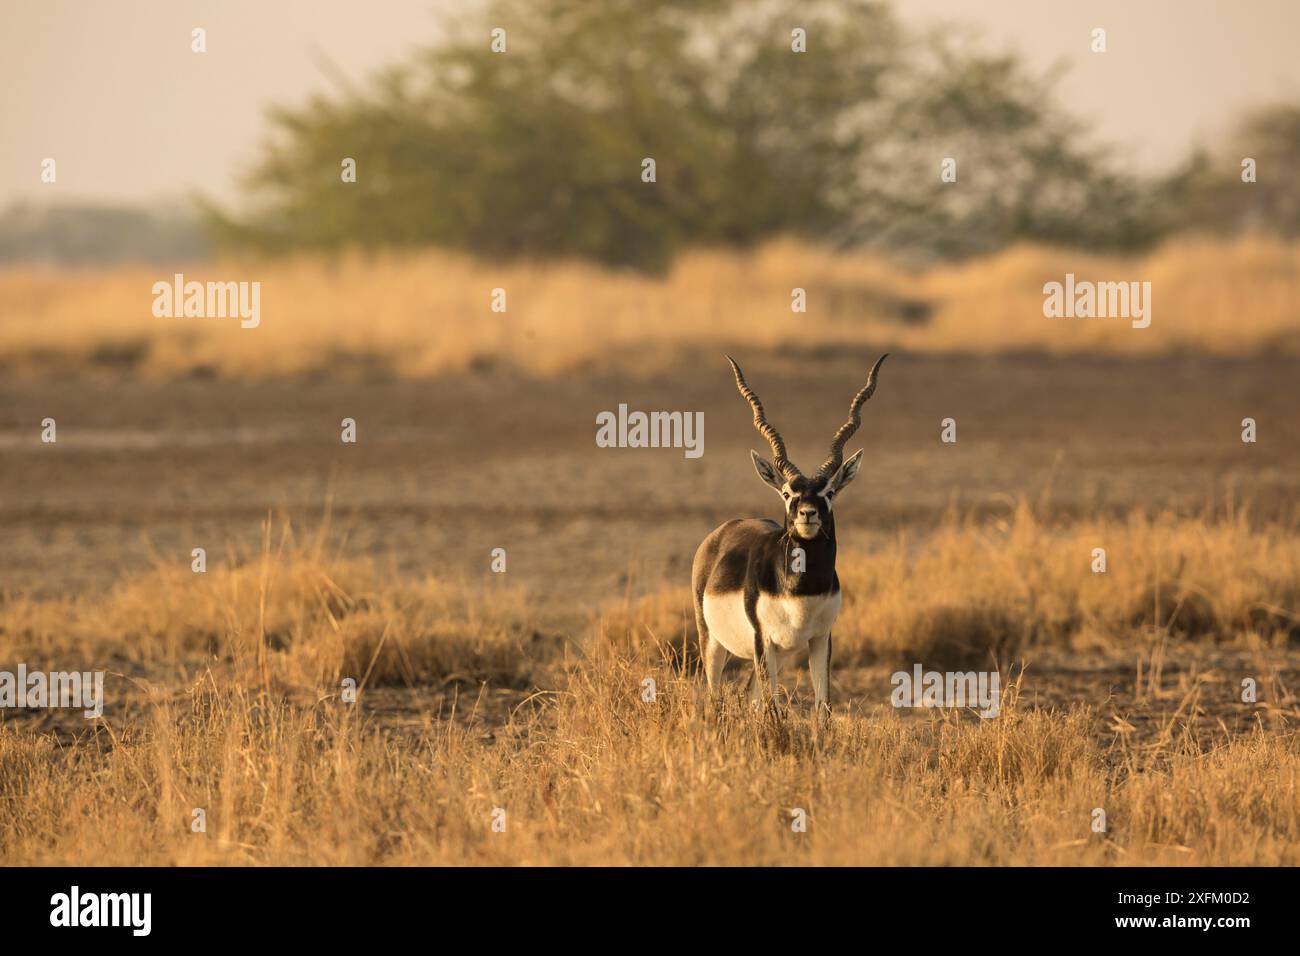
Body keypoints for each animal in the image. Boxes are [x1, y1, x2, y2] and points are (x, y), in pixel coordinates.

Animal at [692, 354, 888, 721]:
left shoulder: (821, 638)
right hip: (713, 640)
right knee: (715, 696)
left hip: (780, 653)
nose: (807, 514)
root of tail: (723, 530)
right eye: (787, 493)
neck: (799, 591)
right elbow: (774, 706)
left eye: (829, 492)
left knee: (750, 695)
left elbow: (822, 707)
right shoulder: (762, 640)